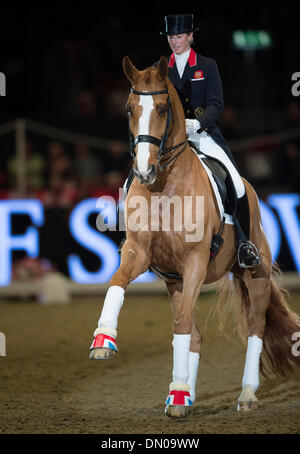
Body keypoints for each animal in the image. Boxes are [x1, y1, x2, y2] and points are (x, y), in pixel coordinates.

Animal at [89, 55, 300, 416]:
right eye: (129, 109)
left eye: (162, 108)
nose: (144, 170)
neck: (164, 187)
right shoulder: (139, 252)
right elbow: (119, 282)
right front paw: (103, 340)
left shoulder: (196, 261)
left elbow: (184, 324)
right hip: (174, 282)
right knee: (194, 333)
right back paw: (183, 393)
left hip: (254, 273)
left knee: (255, 328)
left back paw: (246, 394)